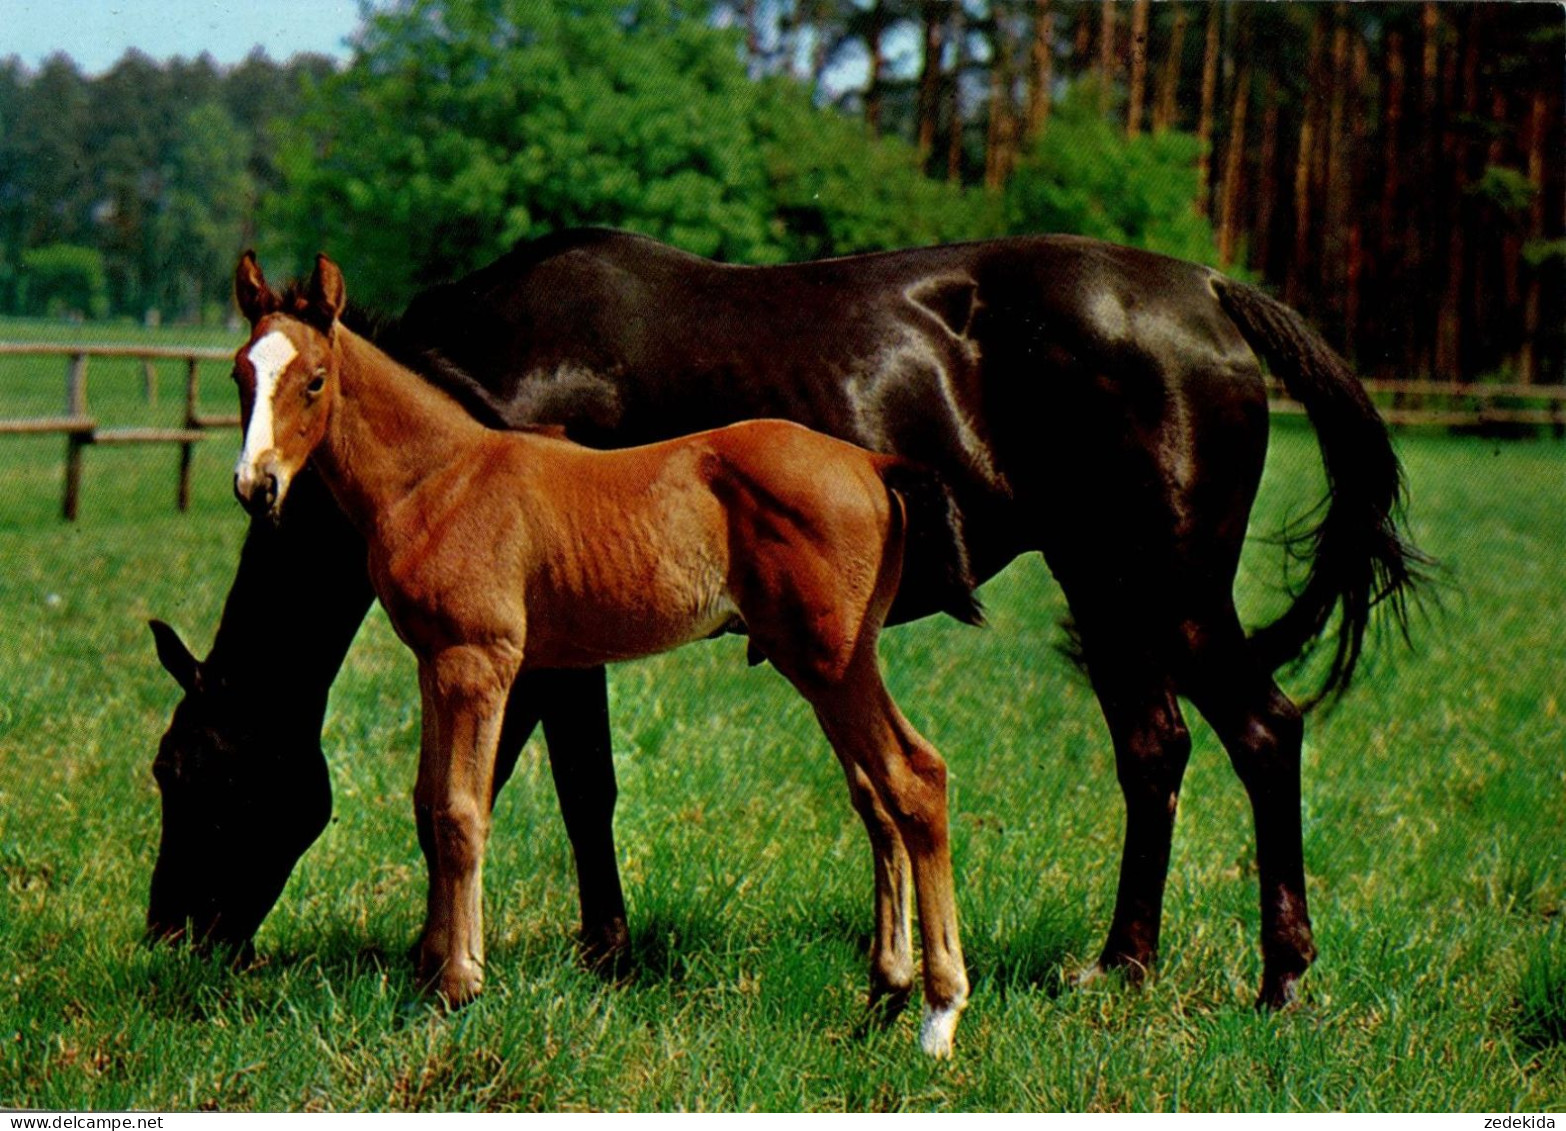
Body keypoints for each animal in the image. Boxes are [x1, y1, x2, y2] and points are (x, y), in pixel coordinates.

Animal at [152, 227, 1428, 1002]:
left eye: (193, 776)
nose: (172, 944)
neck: (478, 400)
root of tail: (1210, 290)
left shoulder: (534, 644)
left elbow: (546, 788)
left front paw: (579, 955)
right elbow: (534, 789)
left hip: (1170, 588)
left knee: (1263, 732)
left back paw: (1280, 975)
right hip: (1105, 590)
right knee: (1154, 750)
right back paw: (1119, 963)